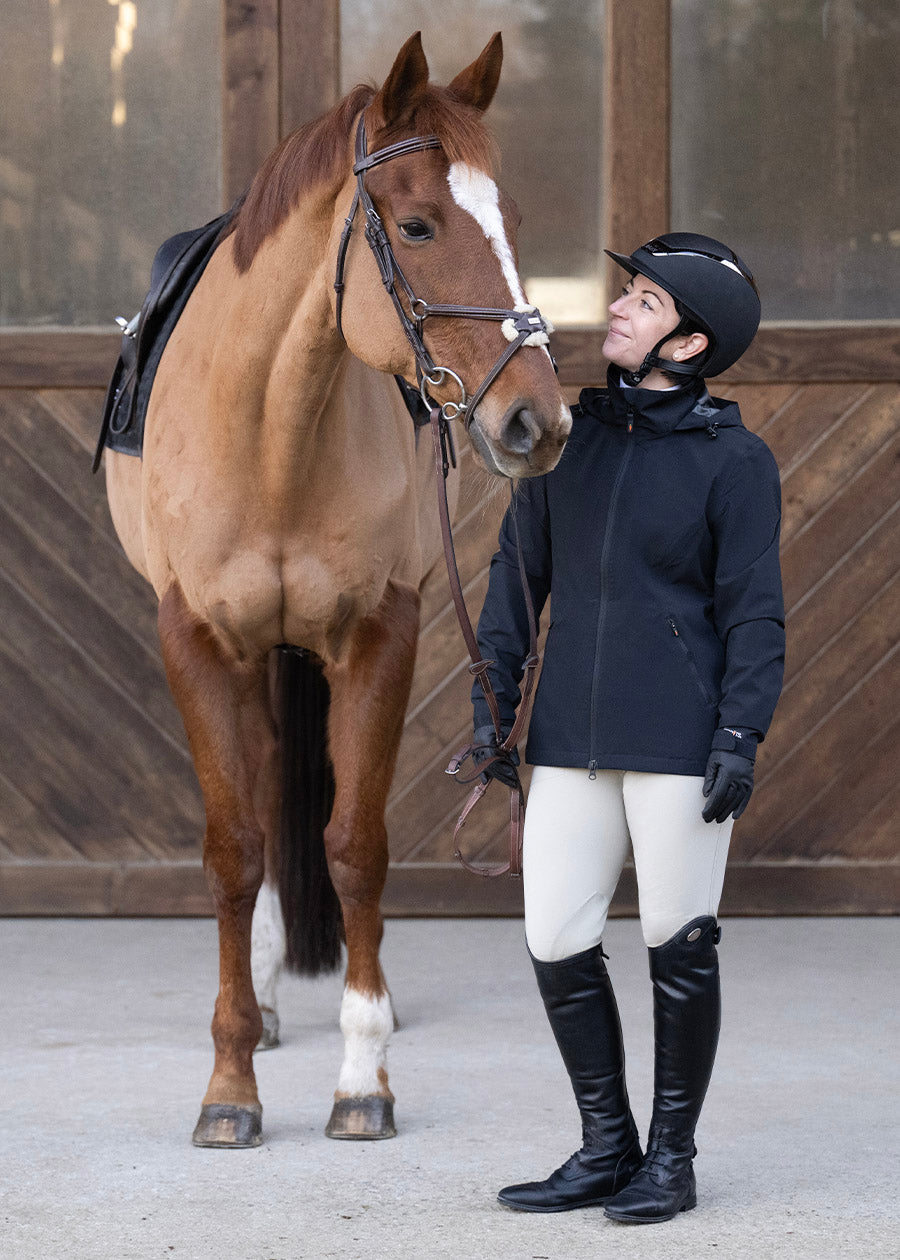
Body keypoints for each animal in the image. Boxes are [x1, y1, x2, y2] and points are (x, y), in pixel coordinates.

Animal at [103, 30, 571, 1148]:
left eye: (511, 220)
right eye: (417, 223)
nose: (539, 422)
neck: (269, 429)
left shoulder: (378, 634)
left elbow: (356, 845)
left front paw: (365, 1073)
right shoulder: (197, 640)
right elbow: (233, 852)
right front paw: (230, 1083)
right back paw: (269, 1000)